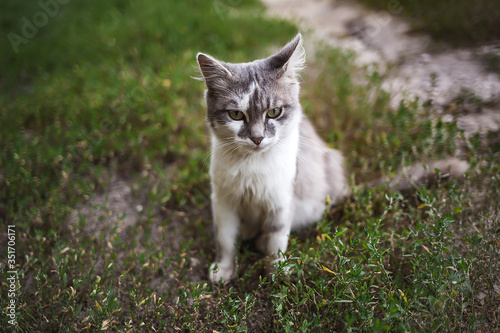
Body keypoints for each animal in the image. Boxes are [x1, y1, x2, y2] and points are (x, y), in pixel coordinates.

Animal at [196, 33, 468, 282]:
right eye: (236, 115)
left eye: (274, 112)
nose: (257, 138)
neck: (251, 167)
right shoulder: (224, 203)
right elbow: (226, 241)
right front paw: (224, 271)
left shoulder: (280, 201)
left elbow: (276, 243)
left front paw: (276, 274)